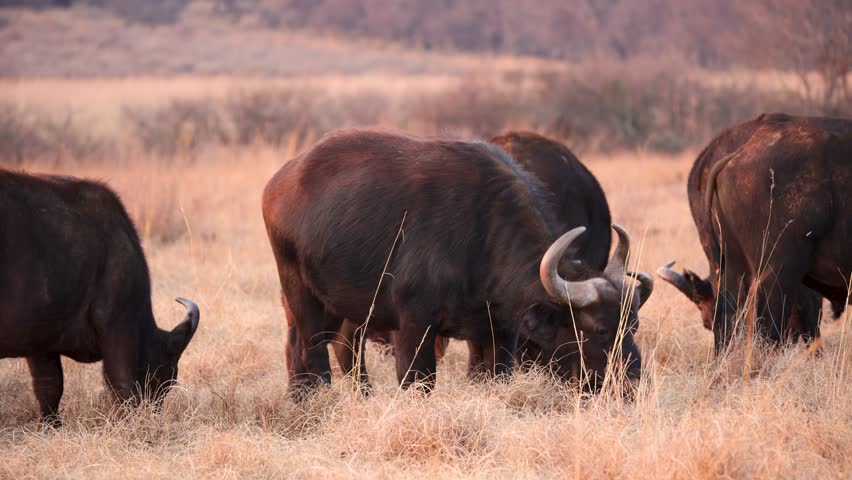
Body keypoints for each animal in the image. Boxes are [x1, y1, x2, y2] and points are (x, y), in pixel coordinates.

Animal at [0, 170, 200, 425]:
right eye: (166, 375)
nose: (153, 413)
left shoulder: (41, 341)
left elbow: (48, 387)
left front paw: (52, 425)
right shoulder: (118, 325)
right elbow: (122, 384)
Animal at [262, 129, 647, 396]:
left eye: (633, 326)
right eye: (600, 330)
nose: (632, 385)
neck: (482, 239)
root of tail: (280, 182)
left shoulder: (499, 335)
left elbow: (494, 375)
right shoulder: (414, 326)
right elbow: (418, 382)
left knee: (325, 345)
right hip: (299, 290)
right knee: (312, 349)